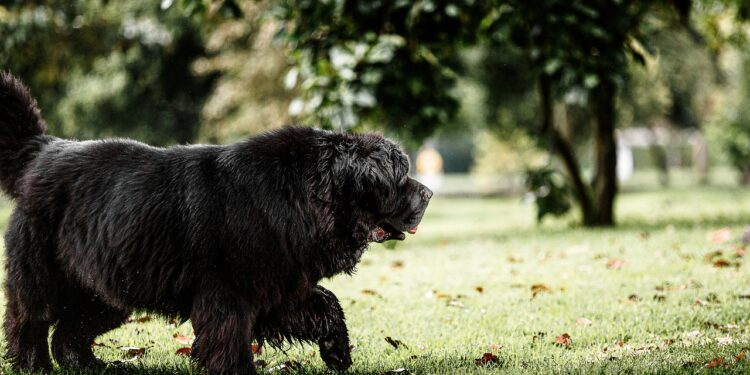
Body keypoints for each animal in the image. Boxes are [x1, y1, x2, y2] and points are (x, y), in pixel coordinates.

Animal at [0, 72, 432, 374]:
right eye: (400, 176)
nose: (428, 193)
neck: (299, 195)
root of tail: (42, 150)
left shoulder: (278, 283)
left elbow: (325, 304)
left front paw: (338, 352)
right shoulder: (227, 292)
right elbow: (229, 337)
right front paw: (237, 370)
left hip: (107, 286)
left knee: (71, 331)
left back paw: (90, 365)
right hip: (43, 274)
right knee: (29, 321)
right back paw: (34, 365)